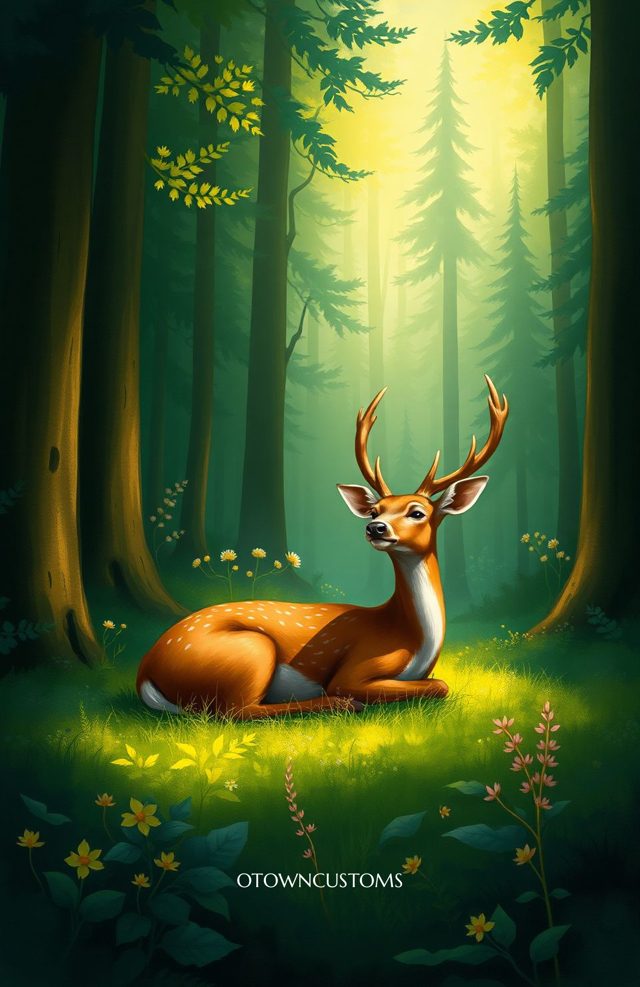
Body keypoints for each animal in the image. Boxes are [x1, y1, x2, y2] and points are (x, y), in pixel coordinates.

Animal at [137, 375, 508, 720]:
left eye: (418, 512)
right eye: (375, 510)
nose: (375, 528)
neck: (413, 637)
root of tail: (145, 672)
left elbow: (437, 682)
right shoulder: (356, 668)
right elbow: (440, 685)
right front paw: (348, 698)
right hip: (252, 650)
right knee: (235, 711)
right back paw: (339, 704)